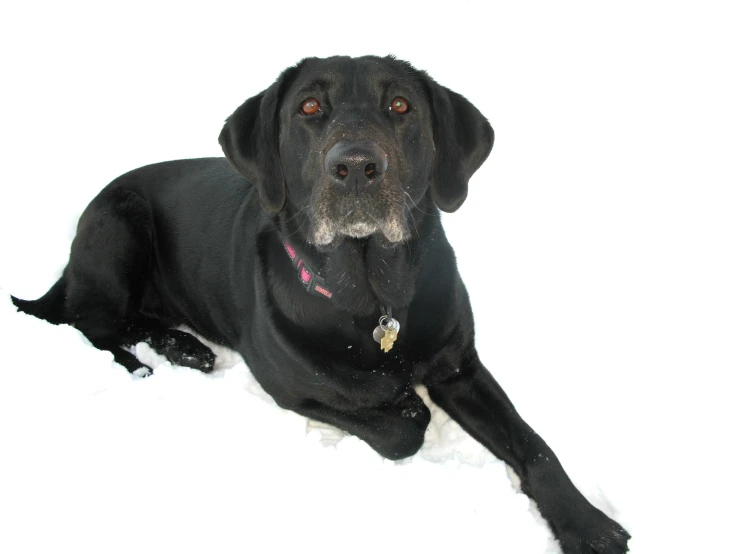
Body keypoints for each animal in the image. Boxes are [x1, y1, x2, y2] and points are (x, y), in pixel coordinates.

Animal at [14, 56, 632, 552]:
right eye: (309, 106)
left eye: (401, 104)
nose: (355, 166)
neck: (373, 298)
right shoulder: (289, 388)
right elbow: (399, 428)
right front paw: (406, 405)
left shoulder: (461, 367)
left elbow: (533, 444)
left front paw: (590, 525)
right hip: (120, 224)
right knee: (93, 325)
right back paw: (156, 358)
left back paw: (182, 345)